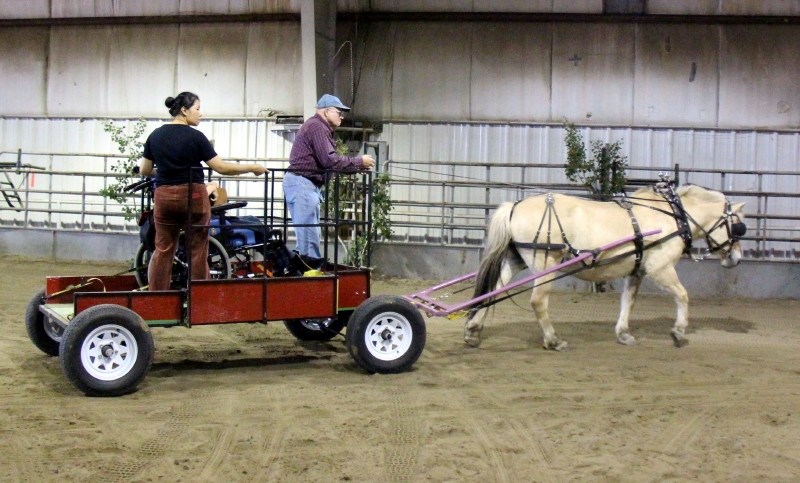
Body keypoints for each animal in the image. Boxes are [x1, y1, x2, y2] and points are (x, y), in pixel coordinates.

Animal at [466, 182, 748, 352]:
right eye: (738, 227)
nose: (736, 258)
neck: (673, 215)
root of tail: (514, 207)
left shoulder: (637, 270)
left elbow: (628, 302)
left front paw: (623, 334)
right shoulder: (660, 268)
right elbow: (682, 295)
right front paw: (678, 333)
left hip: (515, 261)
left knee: (492, 292)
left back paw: (473, 331)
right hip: (546, 264)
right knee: (537, 302)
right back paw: (554, 340)